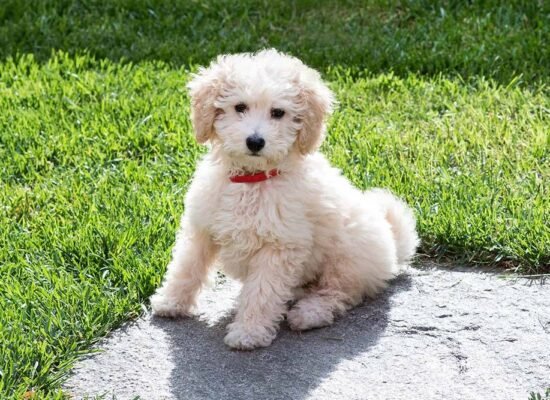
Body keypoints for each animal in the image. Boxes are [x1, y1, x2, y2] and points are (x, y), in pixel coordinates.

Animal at [150, 49, 418, 350]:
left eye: (278, 113)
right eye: (239, 107)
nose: (255, 142)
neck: (252, 180)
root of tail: (394, 247)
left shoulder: (278, 247)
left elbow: (262, 292)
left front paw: (249, 332)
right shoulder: (202, 228)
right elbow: (186, 266)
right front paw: (171, 302)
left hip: (348, 255)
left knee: (338, 292)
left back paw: (309, 313)